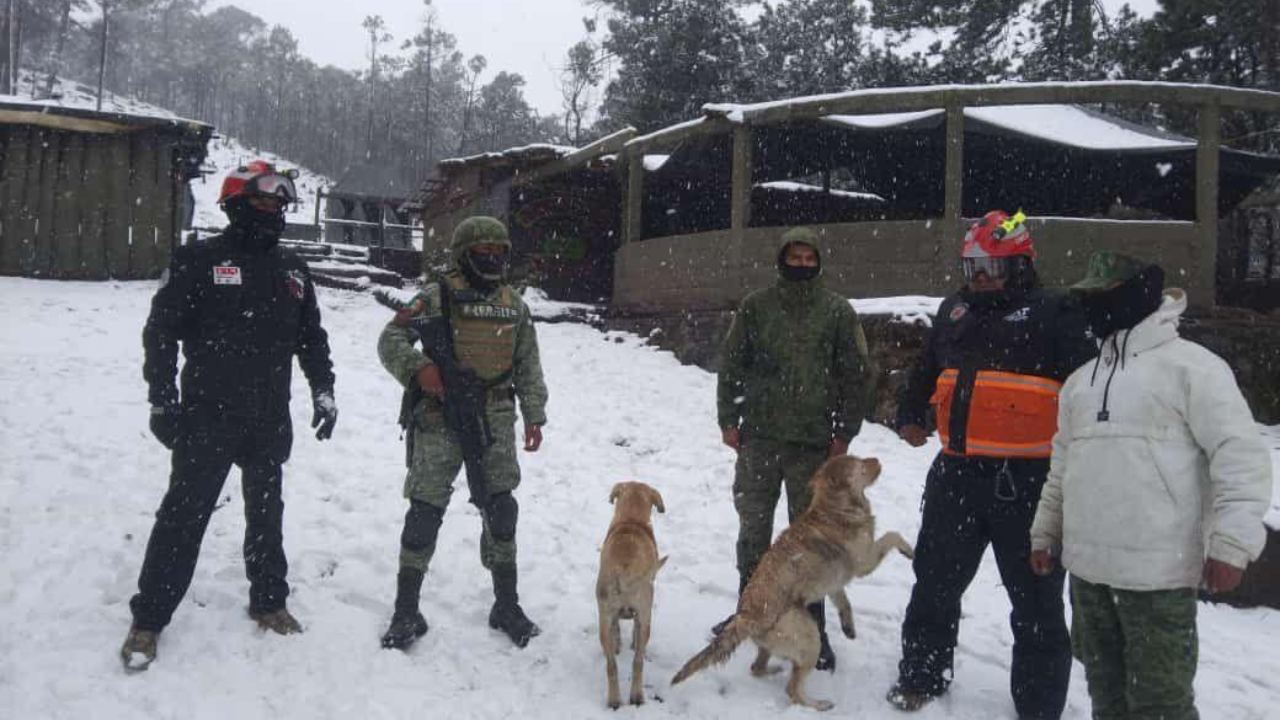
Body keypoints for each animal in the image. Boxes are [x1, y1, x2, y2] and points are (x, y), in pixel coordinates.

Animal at [593, 481, 670, 707]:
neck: (631, 519)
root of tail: (625, 569)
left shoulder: (611, 615)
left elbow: (617, 629)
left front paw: (618, 645)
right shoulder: (642, 614)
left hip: (604, 618)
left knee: (612, 665)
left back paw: (614, 700)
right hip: (646, 616)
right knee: (638, 661)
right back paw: (636, 696)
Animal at [670, 453, 911, 707]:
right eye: (860, 464)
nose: (877, 459)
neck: (836, 507)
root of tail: (746, 616)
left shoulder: (835, 583)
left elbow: (844, 602)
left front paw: (849, 627)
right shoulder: (864, 561)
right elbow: (892, 535)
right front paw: (910, 551)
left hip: (774, 642)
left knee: (757, 668)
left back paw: (774, 670)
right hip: (809, 636)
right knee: (792, 690)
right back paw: (818, 704)